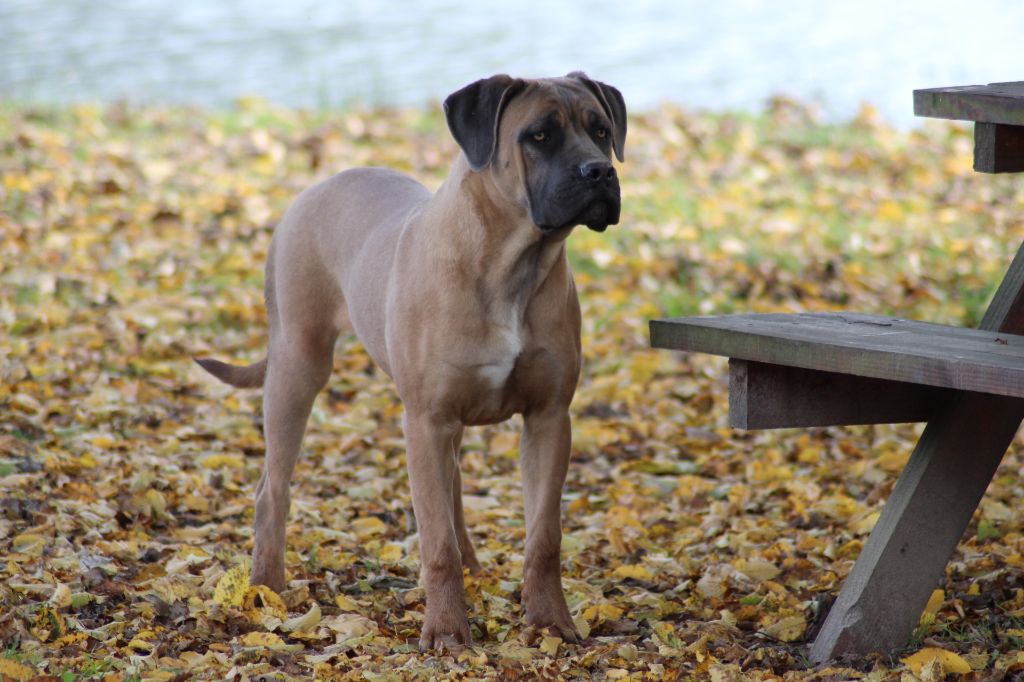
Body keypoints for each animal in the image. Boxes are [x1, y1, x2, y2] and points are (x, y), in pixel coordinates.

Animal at [193, 70, 622, 647]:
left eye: (601, 131)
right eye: (539, 135)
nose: (600, 171)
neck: (512, 263)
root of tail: (311, 191)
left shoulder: (549, 418)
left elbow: (544, 538)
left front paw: (551, 622)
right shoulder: (425, 419)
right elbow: (436, 543)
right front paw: (446, 631)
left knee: (454, 490)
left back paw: (473, 566)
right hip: (297, 366)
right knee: (272, 489)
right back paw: (266, 585)